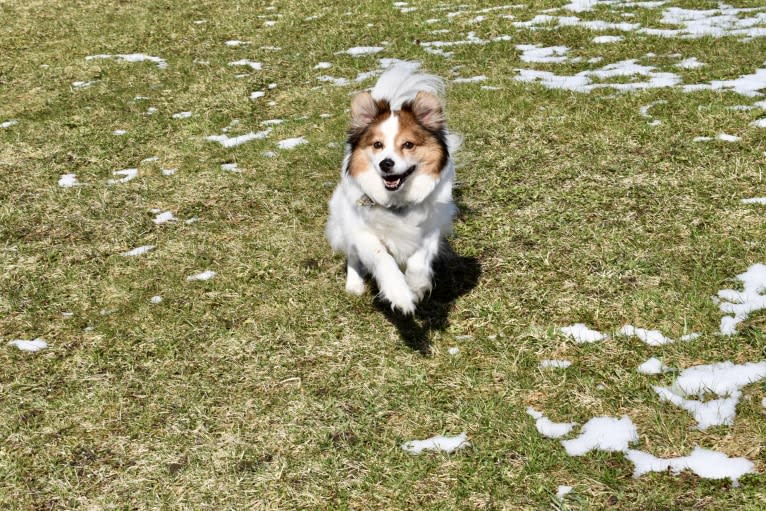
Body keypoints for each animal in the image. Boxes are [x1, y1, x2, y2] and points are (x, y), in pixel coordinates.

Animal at [326, 64, 460, 314]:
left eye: (408, 145)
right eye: (377, 145)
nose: (385, 163)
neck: (397, 201)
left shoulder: (431, 229)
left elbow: (419, 260)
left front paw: (416, 287)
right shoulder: (362, 232)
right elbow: (382, 258)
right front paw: (400, 294)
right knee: (352, 255)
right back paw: (354, 284)